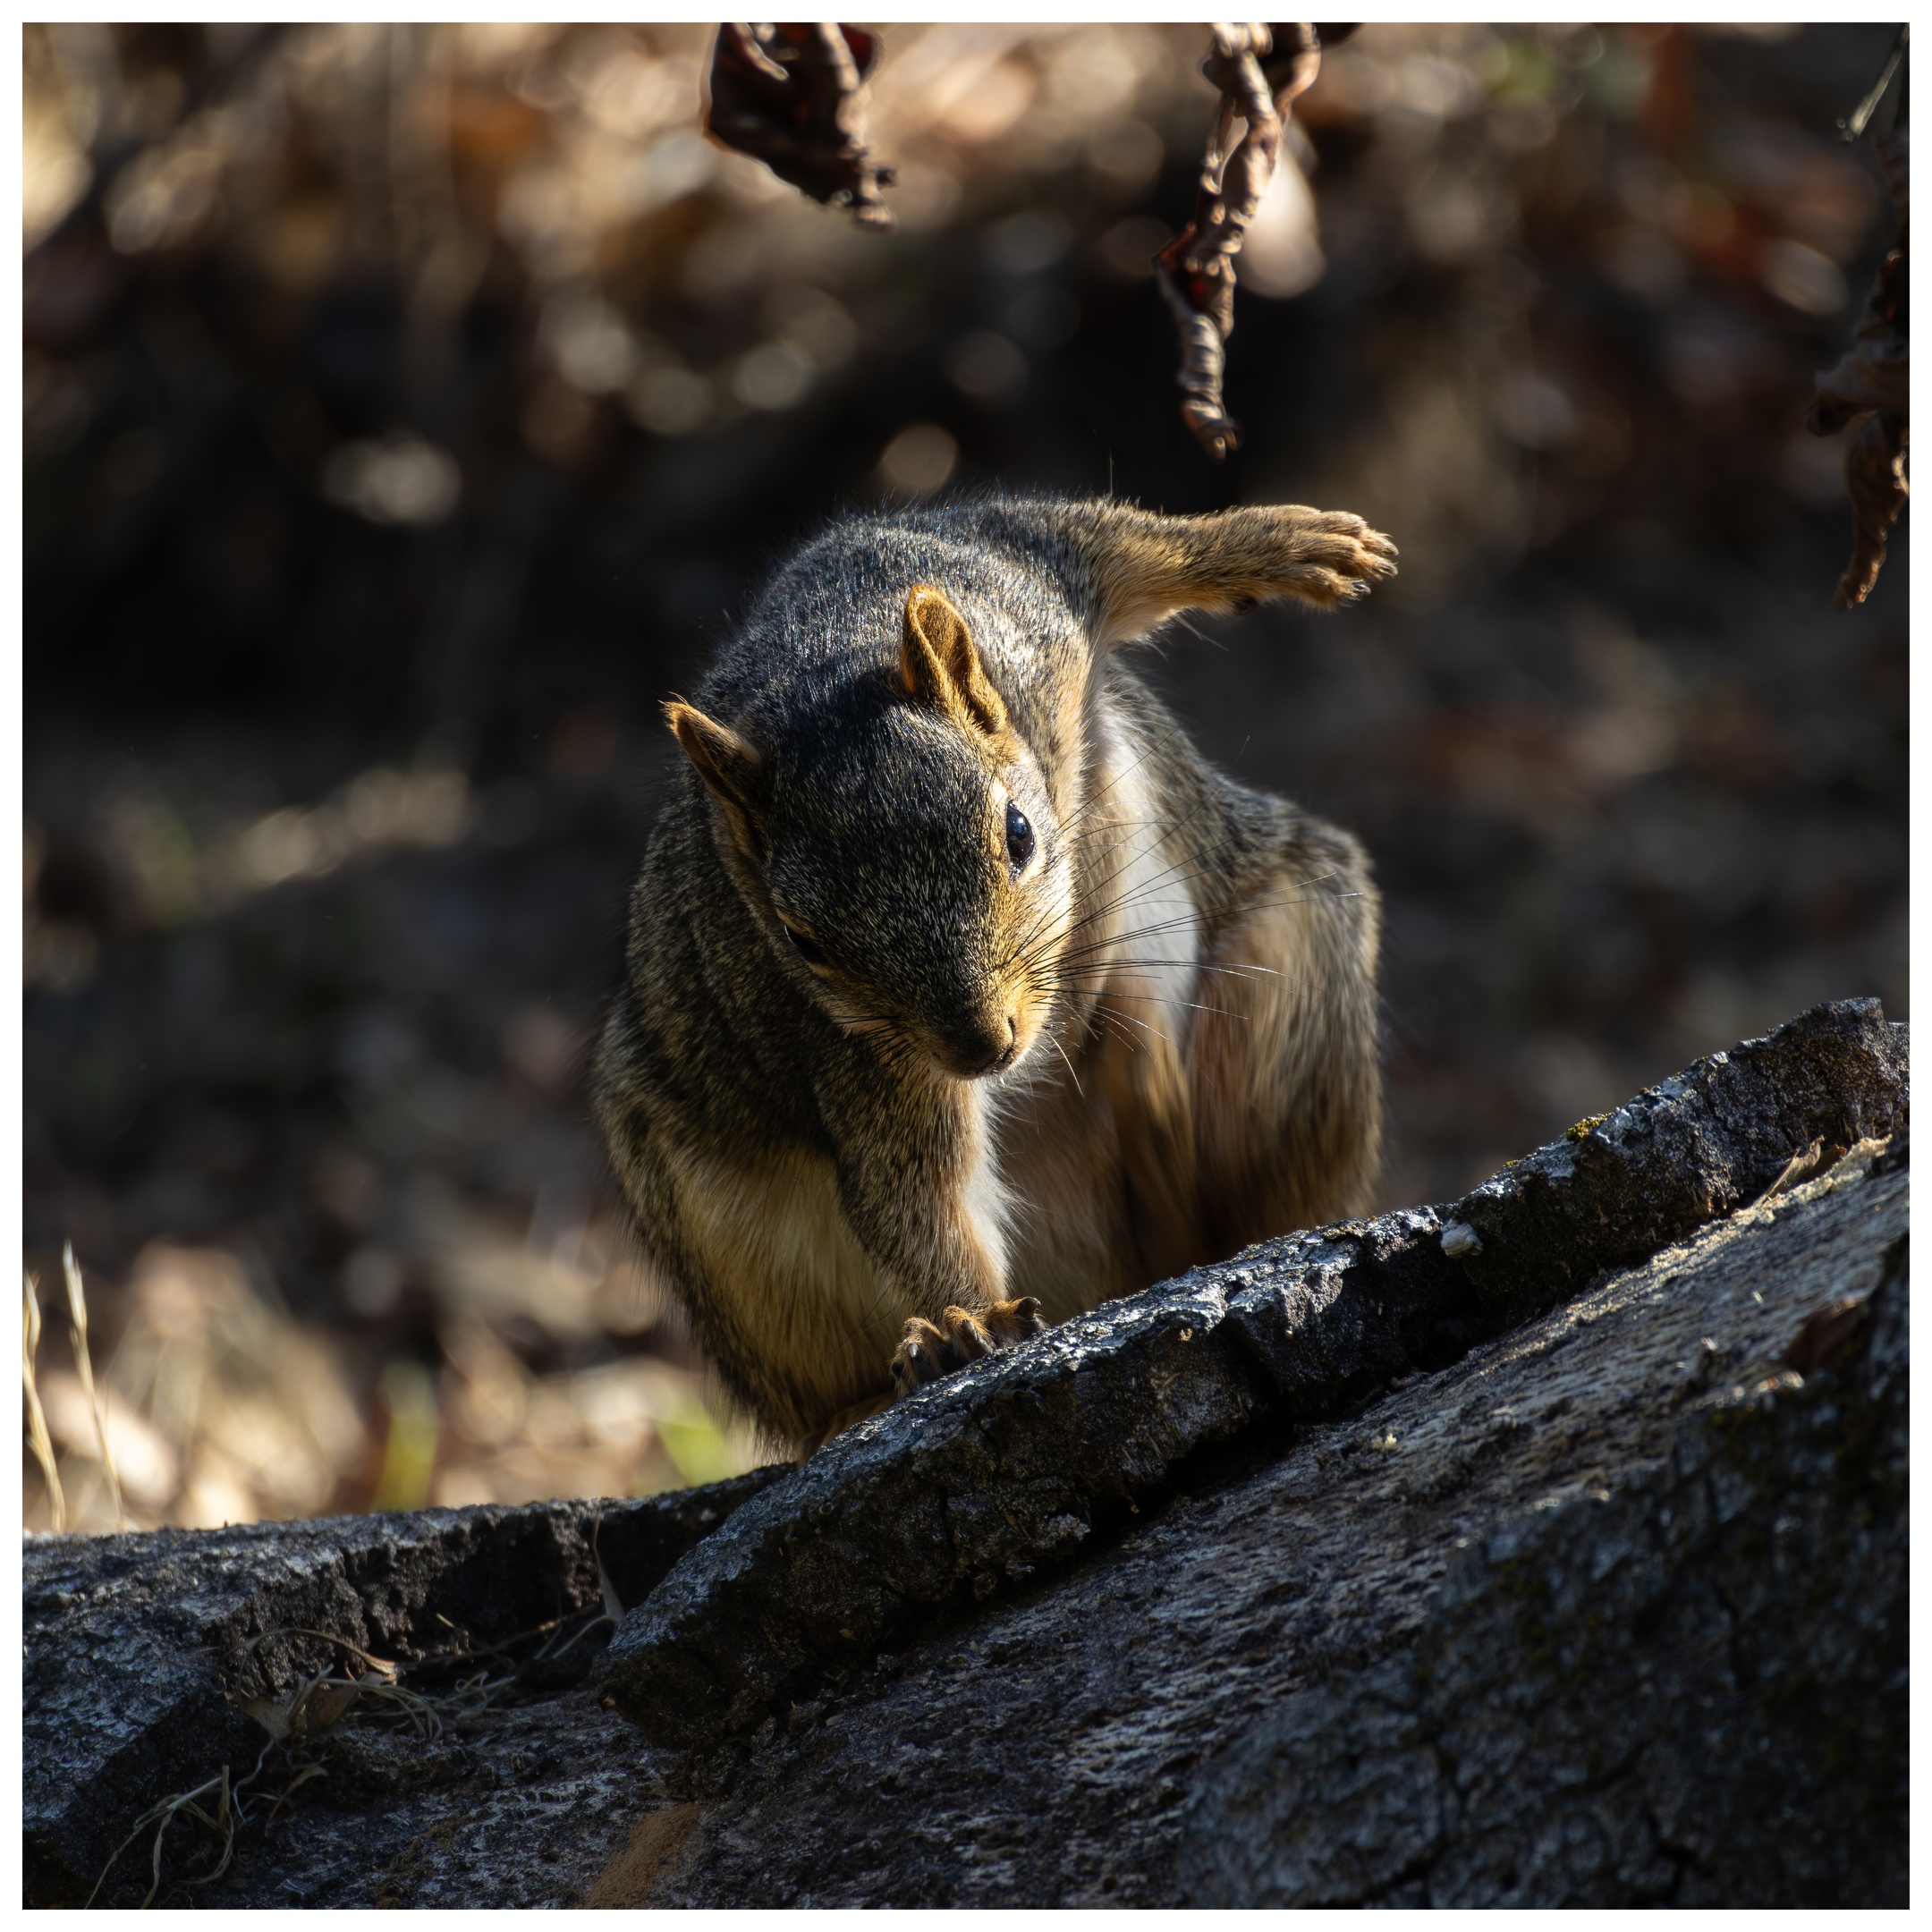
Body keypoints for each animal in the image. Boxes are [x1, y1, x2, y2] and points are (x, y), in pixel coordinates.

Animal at [593, 495, 1395, 1455]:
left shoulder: (1025, 586)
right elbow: (921, 1199)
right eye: (800, 940)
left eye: (1018, 834)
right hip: (722, 1233)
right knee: (816, 1397)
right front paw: (969, 1323)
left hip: (1293, 973)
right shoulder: (866, 1059)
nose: (982, 1045)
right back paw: (885, 1388)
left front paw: (1289, 544)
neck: (820, 671)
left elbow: (1123, 544)